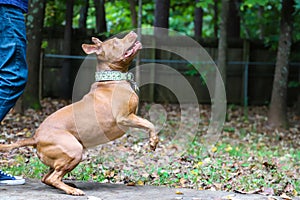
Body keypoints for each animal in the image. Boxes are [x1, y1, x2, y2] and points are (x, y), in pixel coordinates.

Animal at [0, 31, 159, 195]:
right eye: (115, 41)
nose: (133, 32)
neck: (112, 80)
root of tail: (35, 138)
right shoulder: (124, 118)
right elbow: (149, 123)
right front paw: (153, 142)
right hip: (74, 151)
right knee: (53, 178)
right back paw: (72, 190)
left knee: (46, 178)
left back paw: (69, 184)